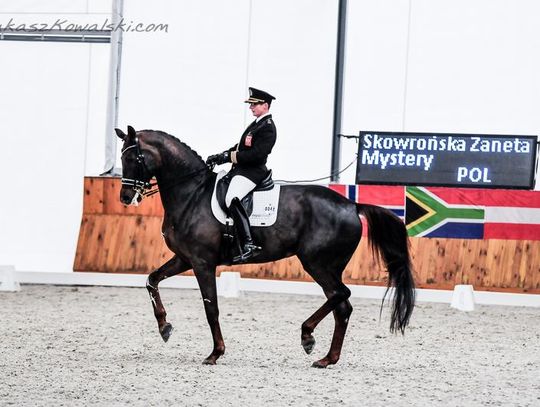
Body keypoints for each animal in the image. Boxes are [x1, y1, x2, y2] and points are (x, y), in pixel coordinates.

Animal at [116, 126, 416, 368]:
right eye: (121, 158)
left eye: (132, 158)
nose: (126, 197)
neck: (192, 194)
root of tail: (352, 205)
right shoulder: (184, 258)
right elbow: (151, 280)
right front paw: (165, 327)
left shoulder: (202, 262)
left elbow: (211, 308)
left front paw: (215, 353)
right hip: (328, 266)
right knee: (342, 306)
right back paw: (327, 359)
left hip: (317, 263)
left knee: (340, 294)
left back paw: (307, 336)